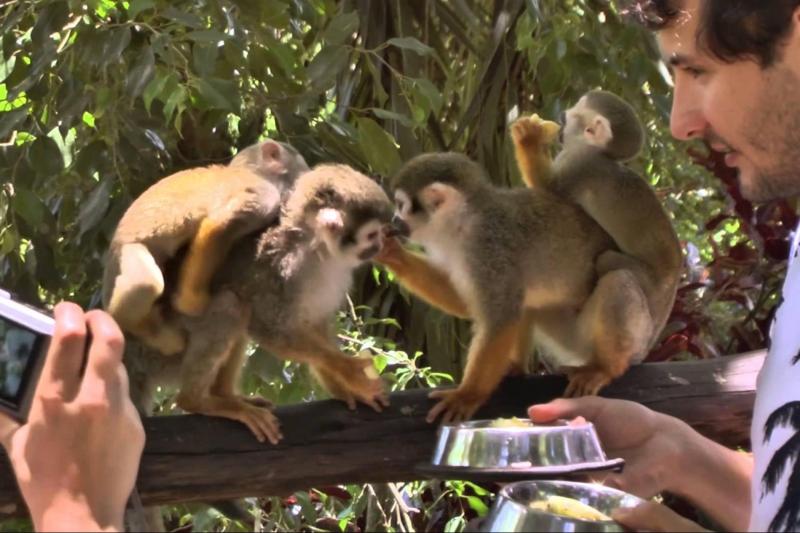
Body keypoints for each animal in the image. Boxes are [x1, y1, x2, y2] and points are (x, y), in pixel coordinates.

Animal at [102, 139, 309, 356]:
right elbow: (218, 226)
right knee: (146, 282)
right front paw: (191, 303)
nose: (309, 171)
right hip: (125, 252)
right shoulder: (265, 195)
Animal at [124, 163, 394, 444]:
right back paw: (197, 400)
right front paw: (349, 369)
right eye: (372, 235)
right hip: (165, 350)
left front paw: (345, 388)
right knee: (232, 305)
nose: (379, 246)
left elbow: (314, 324)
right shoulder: (283, 266)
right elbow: (269, 327)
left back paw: (224, 394)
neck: (318, 249)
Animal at [509, 90, 683, 393]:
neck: (598, 153)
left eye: (569, 117)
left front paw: (529, 138)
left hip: (639, 316)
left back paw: (604, 368)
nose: (560, 120)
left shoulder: (579, 165)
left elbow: (547, 187)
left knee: (613, 271)